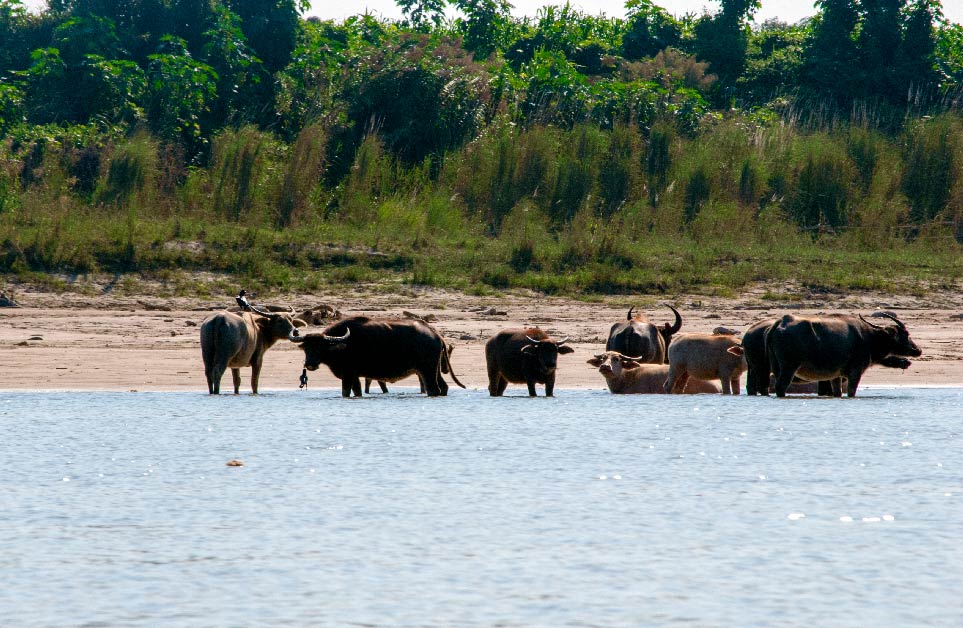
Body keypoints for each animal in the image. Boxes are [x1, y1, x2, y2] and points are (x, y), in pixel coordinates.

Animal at [288, 316, 466, 400]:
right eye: (307, 347)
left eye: (320, 346)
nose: (309, 364)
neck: (342, 344)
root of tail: (435, 334)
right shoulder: (355, 376)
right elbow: (357, 392)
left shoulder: (348, 375)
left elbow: (345, 393)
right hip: (434, 370)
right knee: (444, 387)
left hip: (427, 371)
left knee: (434, 389)